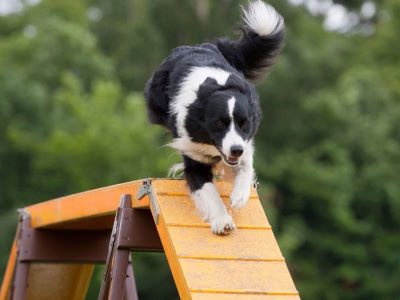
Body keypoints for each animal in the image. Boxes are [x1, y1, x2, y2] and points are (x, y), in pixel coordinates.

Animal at [145, 0, 284, 234]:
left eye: (244, 124)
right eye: (219, 124)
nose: (235, 150)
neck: (219, 86)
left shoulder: (245, 142)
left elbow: (246, 164)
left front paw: (239, 196)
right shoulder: (191, 148)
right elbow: (206, 188)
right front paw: (222, 221)